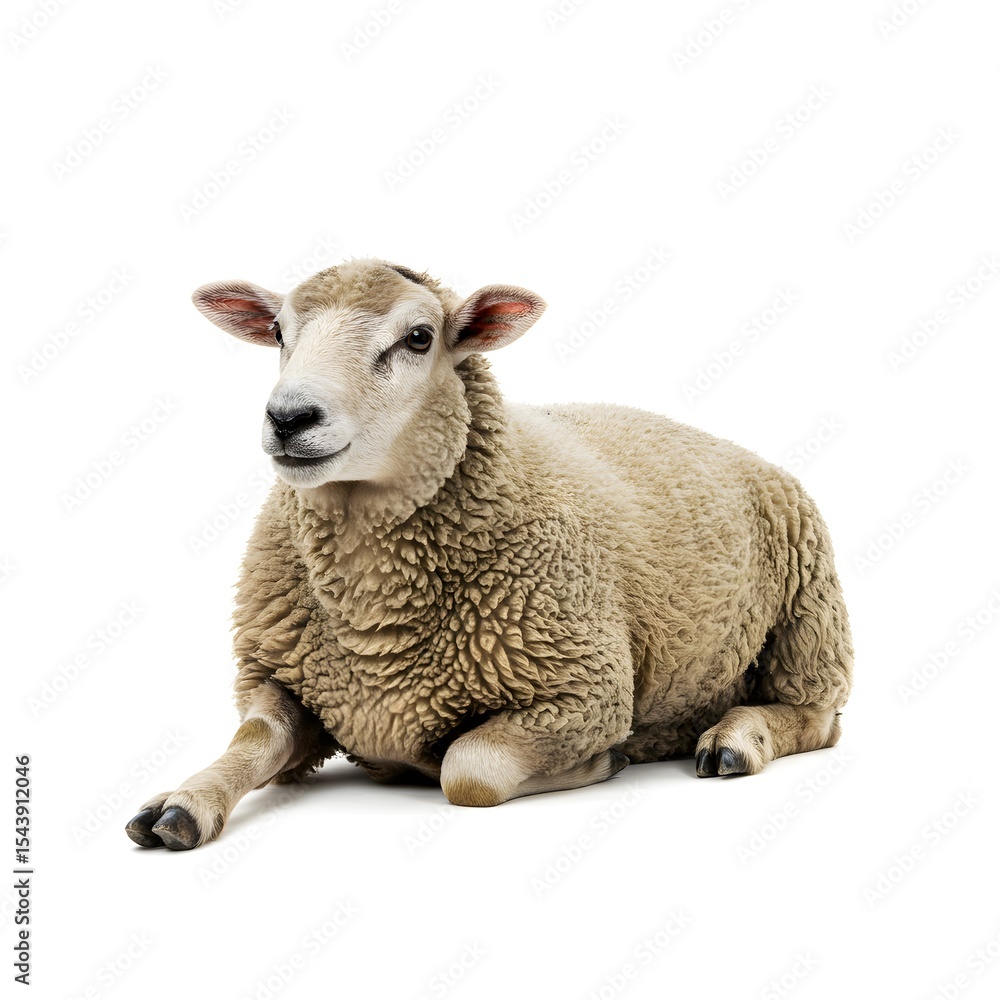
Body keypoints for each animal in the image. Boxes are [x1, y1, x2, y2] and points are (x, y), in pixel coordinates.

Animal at [126, 258, 853, 851]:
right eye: (279, 332)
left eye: (419, 337)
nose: (288, 418)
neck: (372, 624)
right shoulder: (280, 679)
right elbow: (252, 741)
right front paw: (181, 803)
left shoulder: (587, 692)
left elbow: (468, 769)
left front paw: (601, 763)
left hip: (809, 615)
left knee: (818, 718)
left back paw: (734, 742)